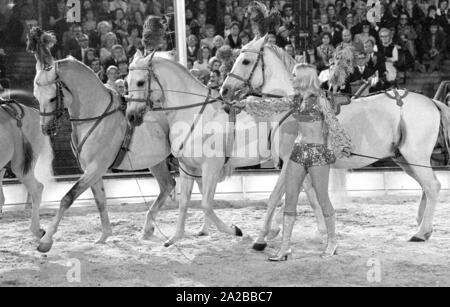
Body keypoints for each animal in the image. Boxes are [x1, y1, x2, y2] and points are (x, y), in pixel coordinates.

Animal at [221, 35, 450, 248]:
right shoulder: (302, 163)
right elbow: (309, 195)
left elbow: (277, 196)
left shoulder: (288, 163)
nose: (224, 90)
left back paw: (421, 232)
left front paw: (263, 237)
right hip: (404, 159)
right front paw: (319, 230)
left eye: (245, 61)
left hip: (415, 156)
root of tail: (431, 101)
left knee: (432, 186)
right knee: (426, 187)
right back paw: (423, 225)